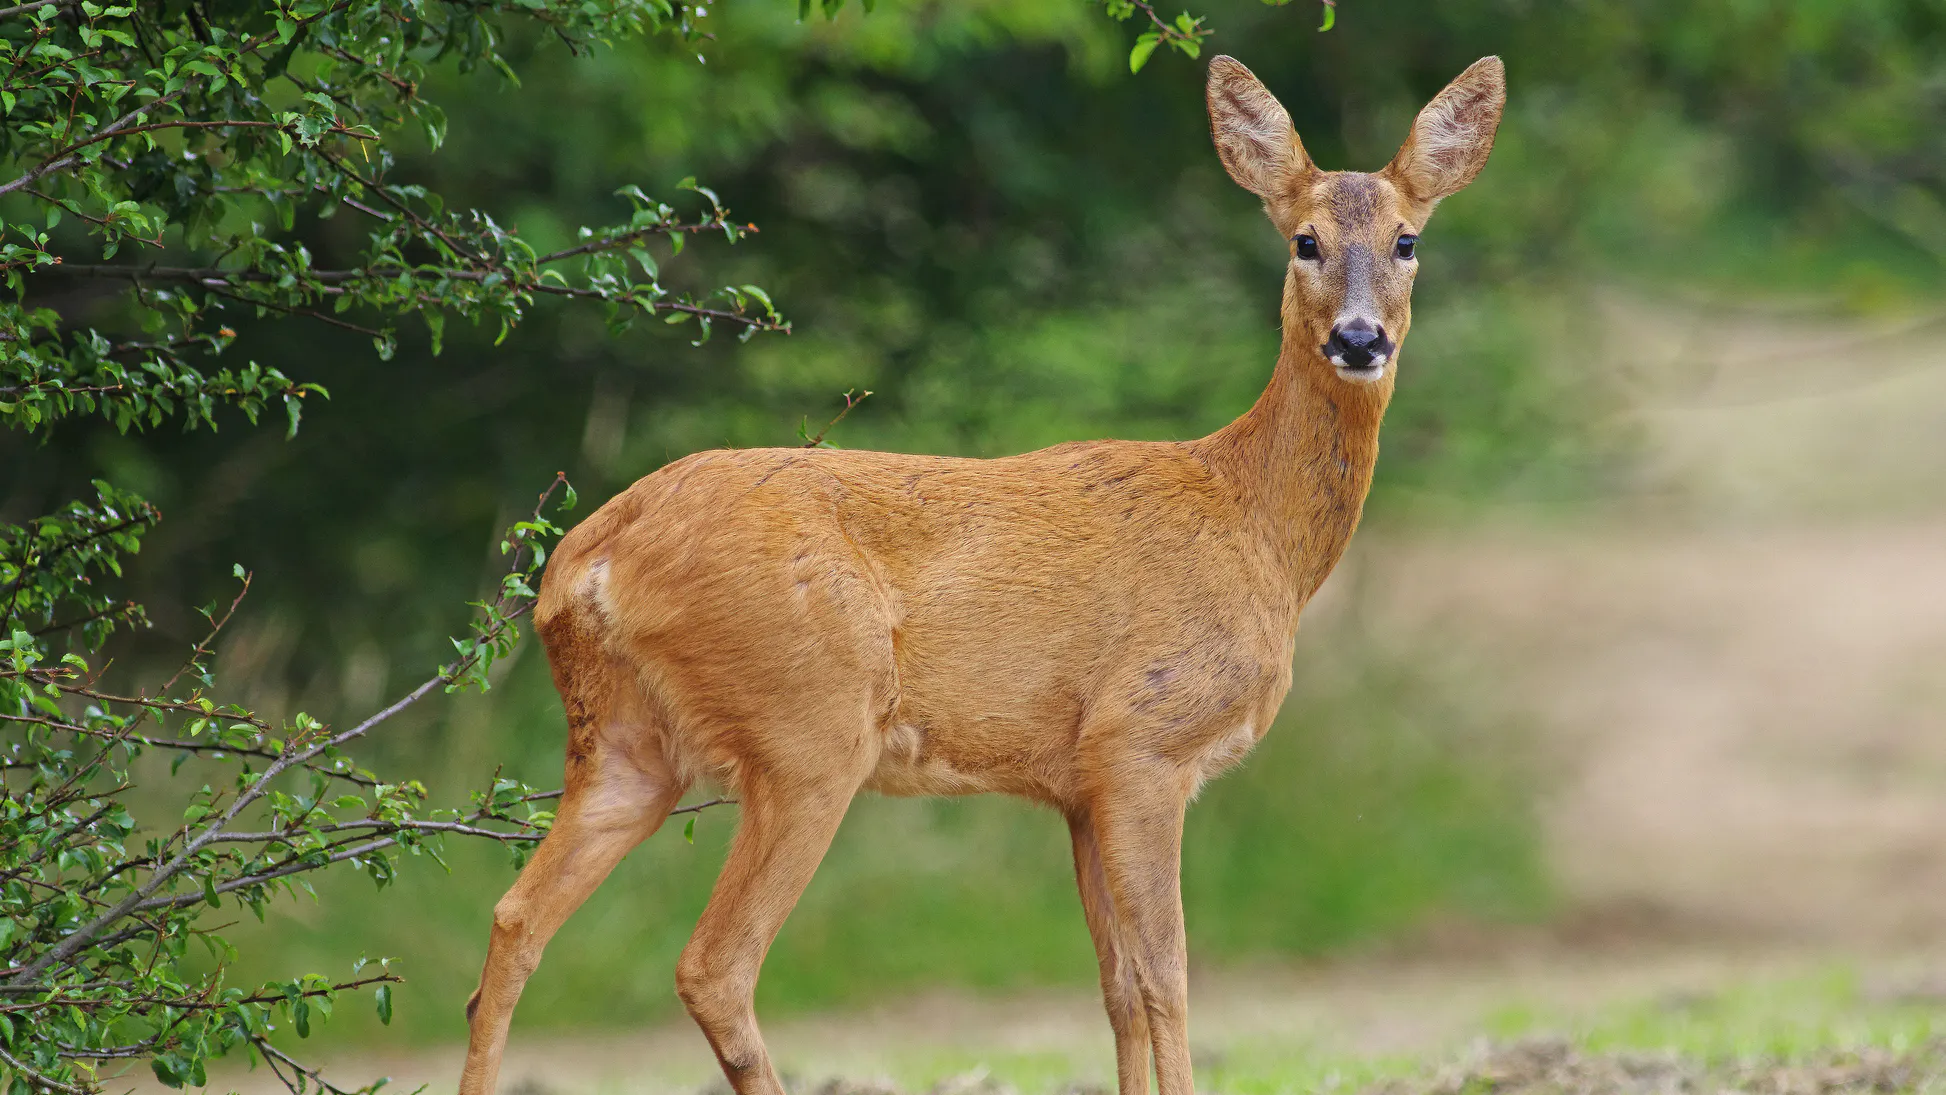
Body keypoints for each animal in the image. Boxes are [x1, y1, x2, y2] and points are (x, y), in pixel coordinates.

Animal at [459, 53, 1505, 1095]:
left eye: (1407, 239)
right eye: (1304, 241)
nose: (1360, 340)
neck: (1255, 526)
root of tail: (587, 562)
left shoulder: (1076, 783)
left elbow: (1118, 986)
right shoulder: (1142, 740)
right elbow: (1167, 975)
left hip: (627, 742)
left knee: (513, 920)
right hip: (808, 724)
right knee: (715, 963)